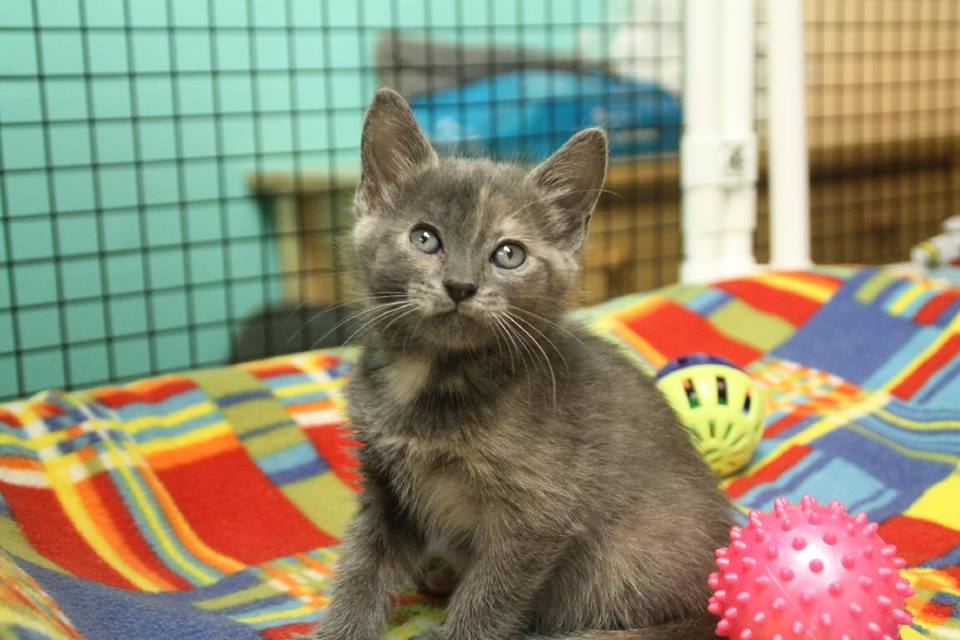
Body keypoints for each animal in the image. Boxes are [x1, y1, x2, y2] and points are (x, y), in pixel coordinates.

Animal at [312, 89, 732, 640]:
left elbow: (490, 594)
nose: (461, 286)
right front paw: (340, 625)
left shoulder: (539, 513)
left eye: (508, 254)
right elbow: (362, 568)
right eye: (425, 238)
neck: (433, 377)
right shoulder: (386, 490)